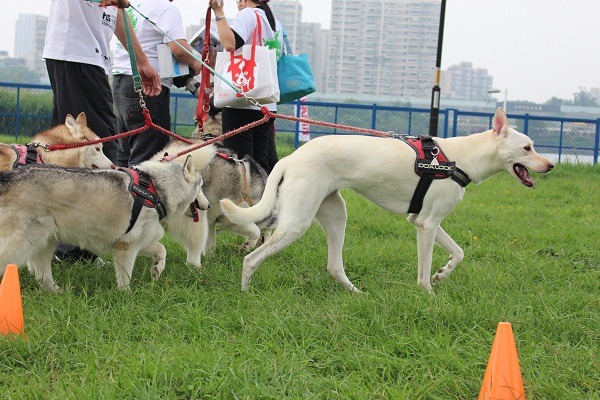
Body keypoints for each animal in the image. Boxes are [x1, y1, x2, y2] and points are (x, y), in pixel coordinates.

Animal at [0, 158, 206, 292]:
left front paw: (157, 268)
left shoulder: (135, 241)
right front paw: (126, 295)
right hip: (24, 243)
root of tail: (10, 177)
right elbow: (125, 278)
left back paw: (56, 290)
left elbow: (162, 249)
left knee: (41, 274)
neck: (156, 188)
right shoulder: (126, 248)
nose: (208, 205)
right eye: (202, 186)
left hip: (44, 241)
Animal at [220, 108, 552, 292]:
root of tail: (292, 158)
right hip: (296, 223)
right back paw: (246, 293)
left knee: (334, 266)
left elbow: (458, 253)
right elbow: (423, 273)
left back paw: (356, 293)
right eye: (527, 148)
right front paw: (429, 294)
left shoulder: (425, 220)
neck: (461, 158)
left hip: (336, 215)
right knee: (251, 259)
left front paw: (443, 274)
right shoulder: (426, 225)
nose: (550, 165)